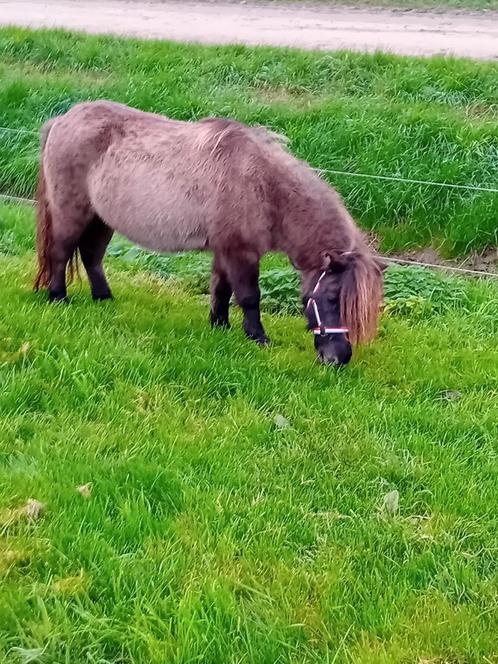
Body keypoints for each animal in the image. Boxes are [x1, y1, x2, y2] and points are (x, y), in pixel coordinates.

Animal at [34, 101, 386, 366]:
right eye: (331, 297)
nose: (339, 359)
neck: (263, 185)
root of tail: (62, 120)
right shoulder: (241, 252)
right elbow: (248, 296)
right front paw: (257, 337)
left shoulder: (225, 249)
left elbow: (221, 288)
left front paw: (220, 325)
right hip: (71, 213)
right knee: (60, 253)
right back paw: (58, 297)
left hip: (101, 219)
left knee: (92, 256)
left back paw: (104, 298)